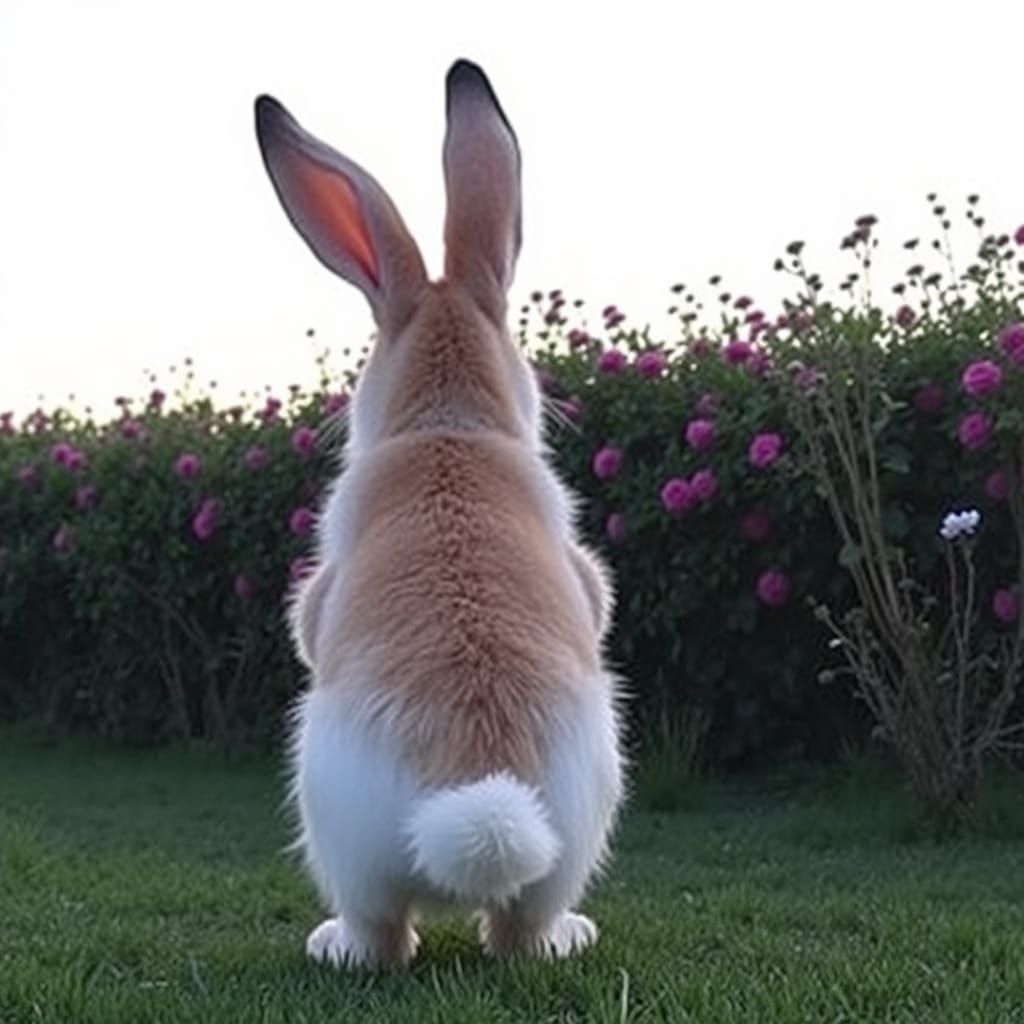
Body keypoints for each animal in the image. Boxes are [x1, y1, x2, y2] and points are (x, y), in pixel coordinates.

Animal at [255, 58, 624, 970]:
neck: (446, 421)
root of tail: (473, 788)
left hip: (331, 821)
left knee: (386, 937)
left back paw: (333, 944)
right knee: (515, 933)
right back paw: (568, 933)